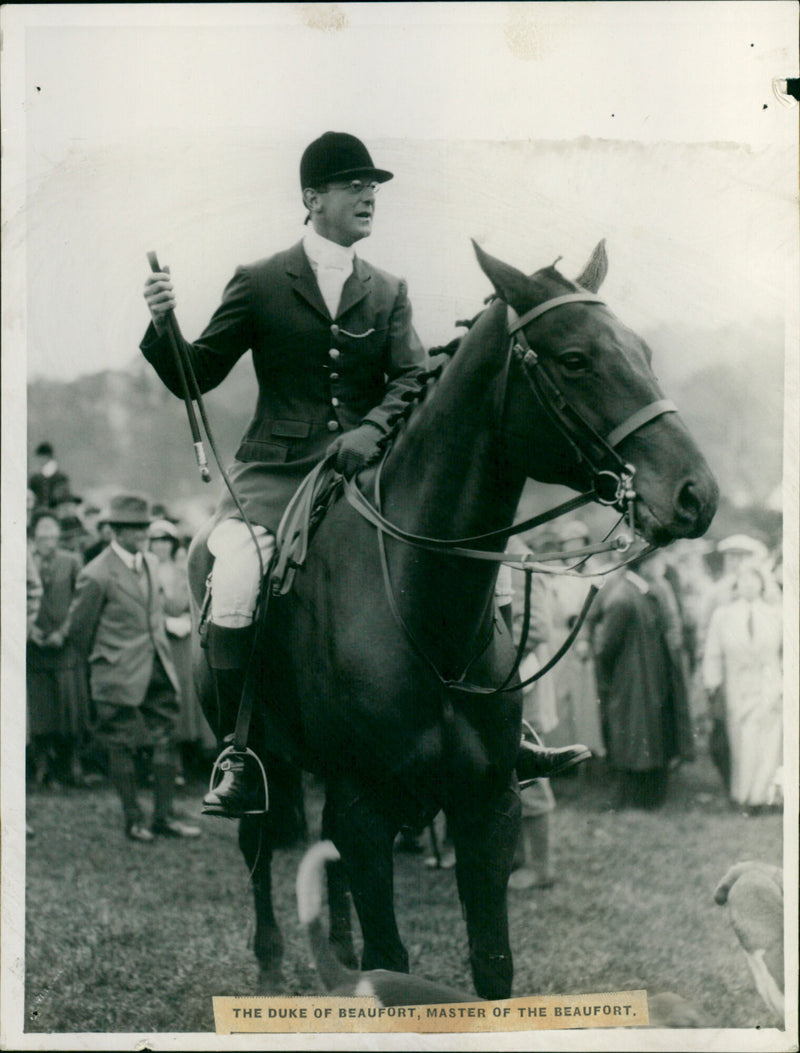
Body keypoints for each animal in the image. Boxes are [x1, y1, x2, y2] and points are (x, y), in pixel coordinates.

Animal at [189, 241, 720, 1002]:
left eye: (643, 350)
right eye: (575, 359)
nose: (695, 494)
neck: (422, 607)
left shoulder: (487, 803)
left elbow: (492, 965)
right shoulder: (367, 804)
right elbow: (390, 959)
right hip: (264, 758)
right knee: (258, 845)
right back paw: (268, 959)